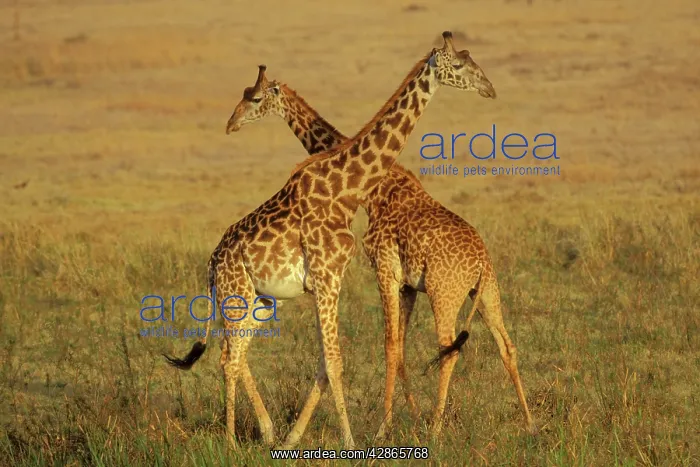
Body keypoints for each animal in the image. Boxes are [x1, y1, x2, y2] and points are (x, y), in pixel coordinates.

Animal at [163, 32, 498, 449]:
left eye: (472, 60)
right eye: (460, 65)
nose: (489, 88)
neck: (347, 189)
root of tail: (211, 265)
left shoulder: (334, 280)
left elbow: (328, 362)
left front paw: (298, 438)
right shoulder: (327, 278)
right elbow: (337, 361)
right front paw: (351, 442)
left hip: (261, 302)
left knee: (234, 354)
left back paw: (266, 433)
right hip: (235, 294)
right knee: (229, 357)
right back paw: (231, 442)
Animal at [224, 63, 536, 439]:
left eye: (254, 98)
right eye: (243, 94)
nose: (232, 123)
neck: (373, 191)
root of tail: (480, 261)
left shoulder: (384, 267)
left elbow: (389, 347)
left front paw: (385, 428)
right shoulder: (407, 284)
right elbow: (399, 349)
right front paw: (409, 416)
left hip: (444, 292)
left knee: (448, 348)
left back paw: (436, 429)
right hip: (488, 292)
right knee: (507, 346)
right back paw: (530, 423)